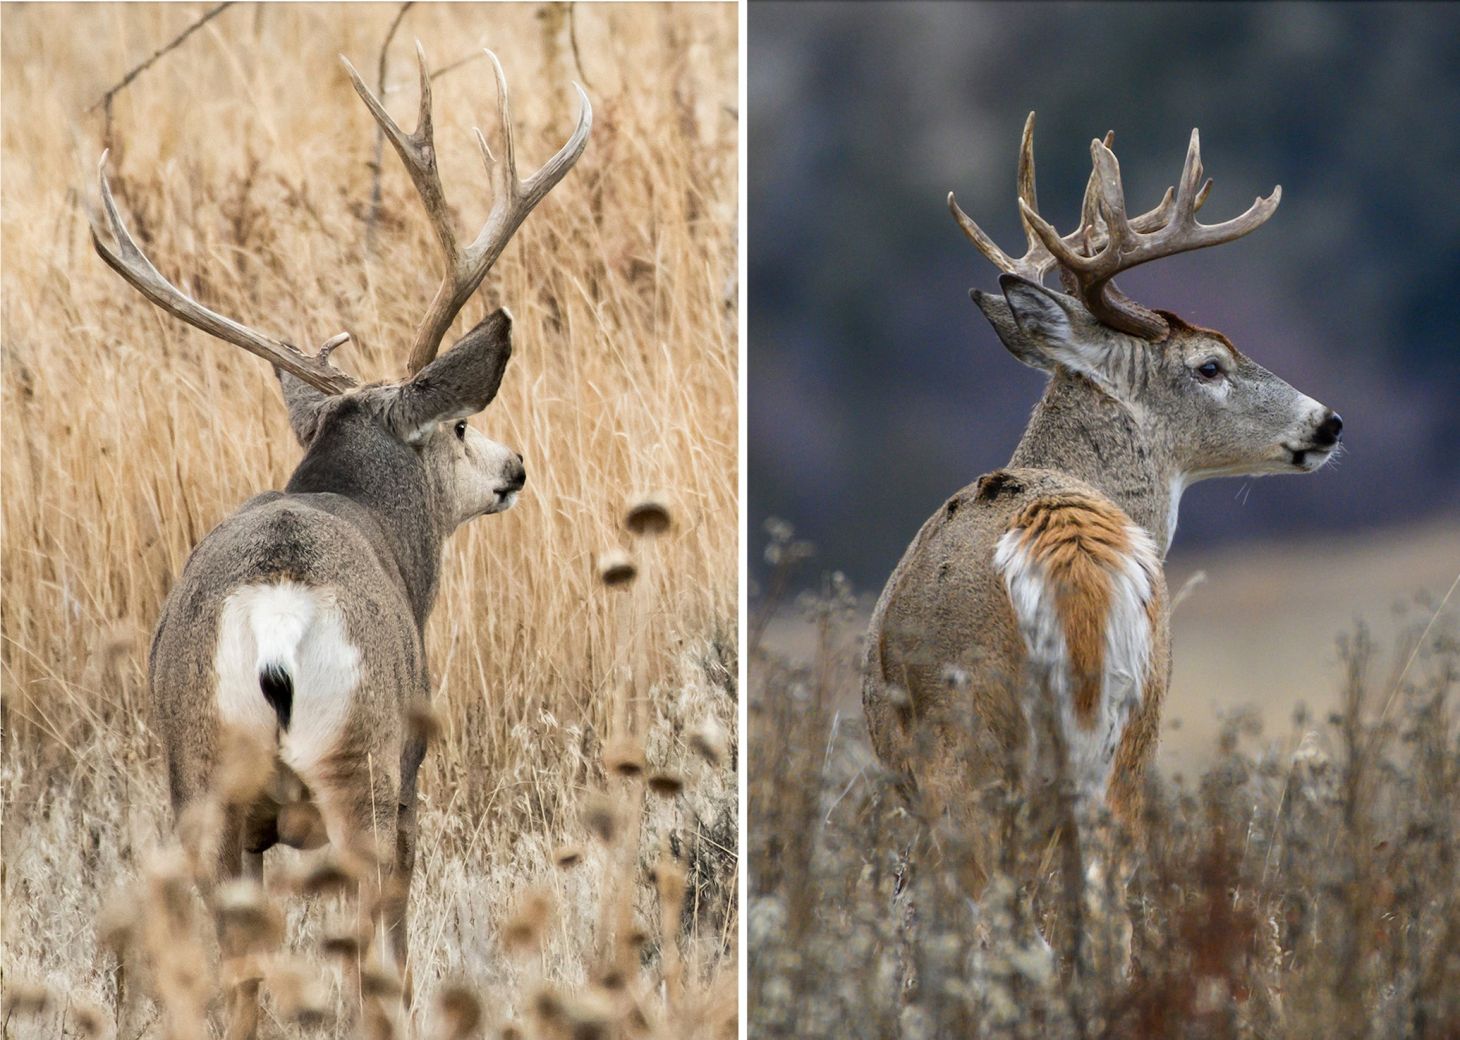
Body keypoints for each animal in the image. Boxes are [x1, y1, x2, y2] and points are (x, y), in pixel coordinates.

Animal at [90, 45, 589, 1037]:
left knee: (235, 980)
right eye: (462, 426)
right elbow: (397, 958)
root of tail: (277, 620)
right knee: (370, 970)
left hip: (202, 782)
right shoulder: (413, 772)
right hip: (363, 768)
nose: (516, 467)